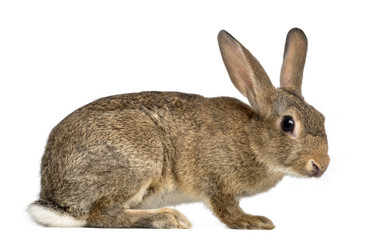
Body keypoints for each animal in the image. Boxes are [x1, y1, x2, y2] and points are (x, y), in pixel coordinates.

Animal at [28, 27, 330, 229]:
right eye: (288, 124)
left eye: (322, 117)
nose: (321, 165)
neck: (252, 139)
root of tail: (54, 197)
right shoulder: (214, 178)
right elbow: (225, 207)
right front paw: (253, 221)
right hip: (138, 160)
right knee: (99, 215)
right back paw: (167, 218)